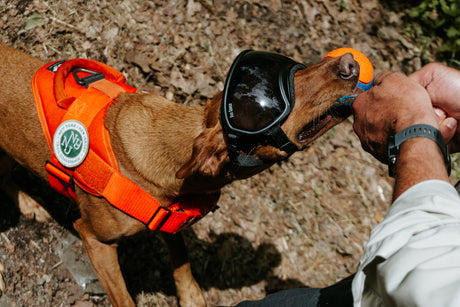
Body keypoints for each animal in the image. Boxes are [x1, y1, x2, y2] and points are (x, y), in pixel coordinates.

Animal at [0, 44, 360, 307]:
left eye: (298, 69)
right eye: (270, 106)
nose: (350, 63)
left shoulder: (169, 218)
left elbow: (182, 261)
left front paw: (191, 297)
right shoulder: (94, 239)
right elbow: (125, 298)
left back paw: (29, 205)